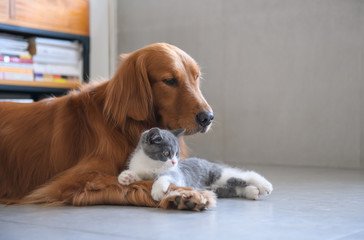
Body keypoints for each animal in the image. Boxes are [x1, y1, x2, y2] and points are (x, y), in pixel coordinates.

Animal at [0, 42, 215, 210]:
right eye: (169, 80)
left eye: (196, 77)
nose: (208, 117)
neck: (124, 128)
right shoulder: (73, 181)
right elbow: (139, 181)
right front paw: (184, 194)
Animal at [117, 127, 272, 202]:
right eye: (166, 153)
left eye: (177, 154)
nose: (174, 161)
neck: (151, 164)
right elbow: (138, 176)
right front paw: (126, 176)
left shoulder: (177, 175)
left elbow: (164, 176)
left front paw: (157, 190)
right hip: (214, 188)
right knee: (232, 188)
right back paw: (252, 191)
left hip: (218, 175)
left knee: (245, 175)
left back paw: (264, 185)